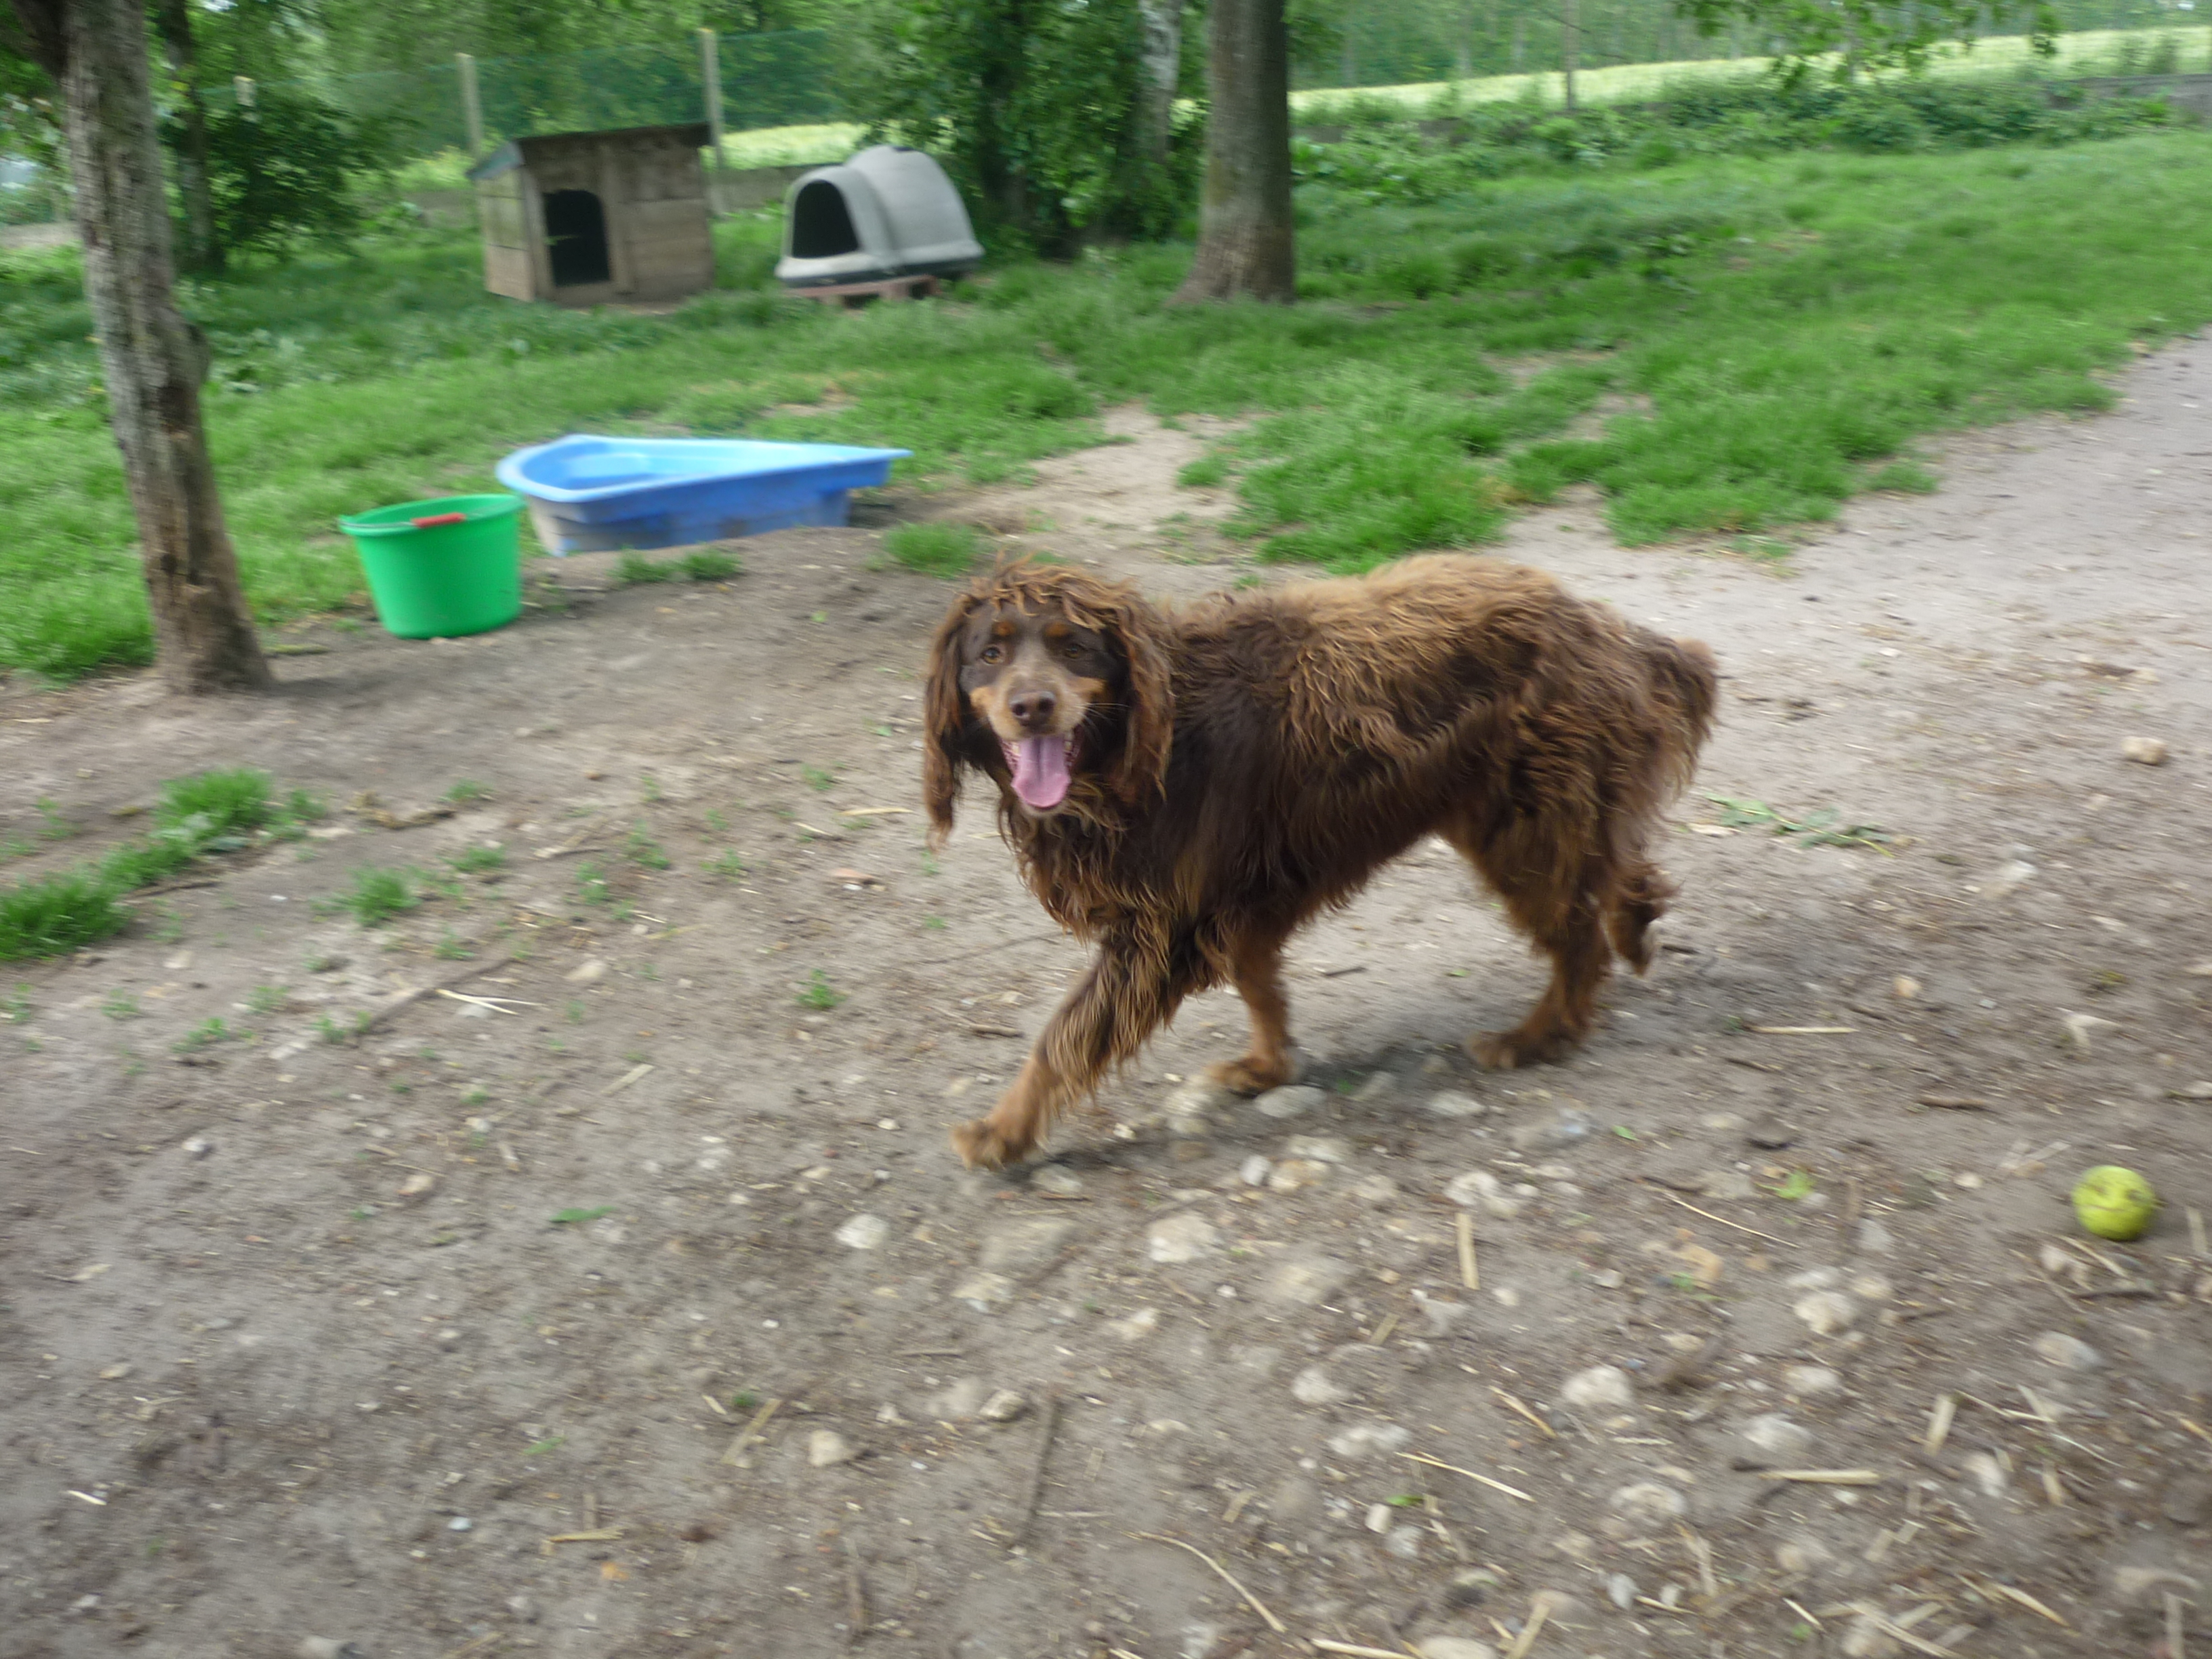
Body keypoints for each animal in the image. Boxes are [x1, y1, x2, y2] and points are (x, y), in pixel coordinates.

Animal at [924, 555, 1716, 1168]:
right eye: (990, 654)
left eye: (1075, 648)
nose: (1033, 706)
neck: (1139, 747)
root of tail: (1605, 627)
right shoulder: (1232, 896)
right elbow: (1260, 988)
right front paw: (1268, 1066)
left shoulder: (1157, 932)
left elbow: (1062, 1039)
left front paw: (1000, 1134)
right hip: (1524, 813)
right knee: (1613, 875)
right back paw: (1636, 924)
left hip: (1524, 828)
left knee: (1577, 940)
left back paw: (1537, 1038)